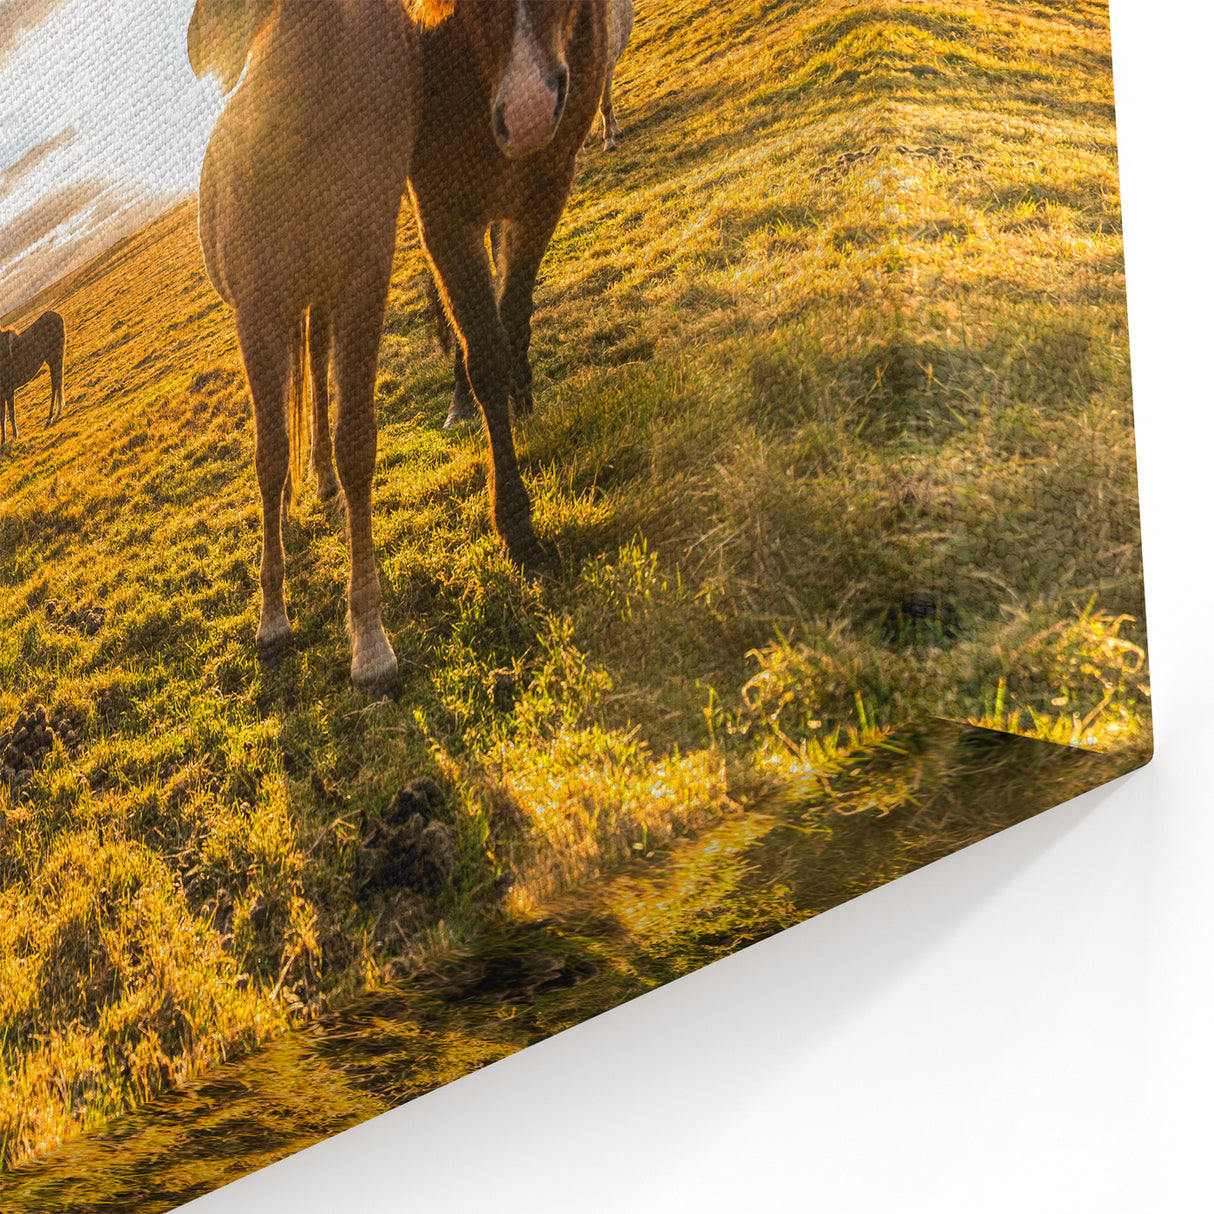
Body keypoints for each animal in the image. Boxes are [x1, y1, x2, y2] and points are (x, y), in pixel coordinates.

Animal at [0, 310, 66, 442]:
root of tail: (57, 316)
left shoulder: (8, 389)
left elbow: (11, 413)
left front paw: (15, 436)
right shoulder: (1, 393)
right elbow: (2, 418)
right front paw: (3, 441)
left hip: (54, 358)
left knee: (55, 384)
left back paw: (49, 418)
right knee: (57, 383)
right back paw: (57, 411)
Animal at [188, 0, 452, 689]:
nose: (200, 44)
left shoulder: (359, 285)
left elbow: (356, 443)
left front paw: (369, 640)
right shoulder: (258, 310)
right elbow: (268, 454)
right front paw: (272, 616)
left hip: (321, 302)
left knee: (316, 372)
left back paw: (324, 481)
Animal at [400, 0, 609, 570]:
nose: (528, 113)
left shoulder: (547, 186)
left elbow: (513, 317)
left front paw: (523, 397)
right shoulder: (441, 211)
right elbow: (484, 351)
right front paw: (517, 527)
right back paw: (460, 402)